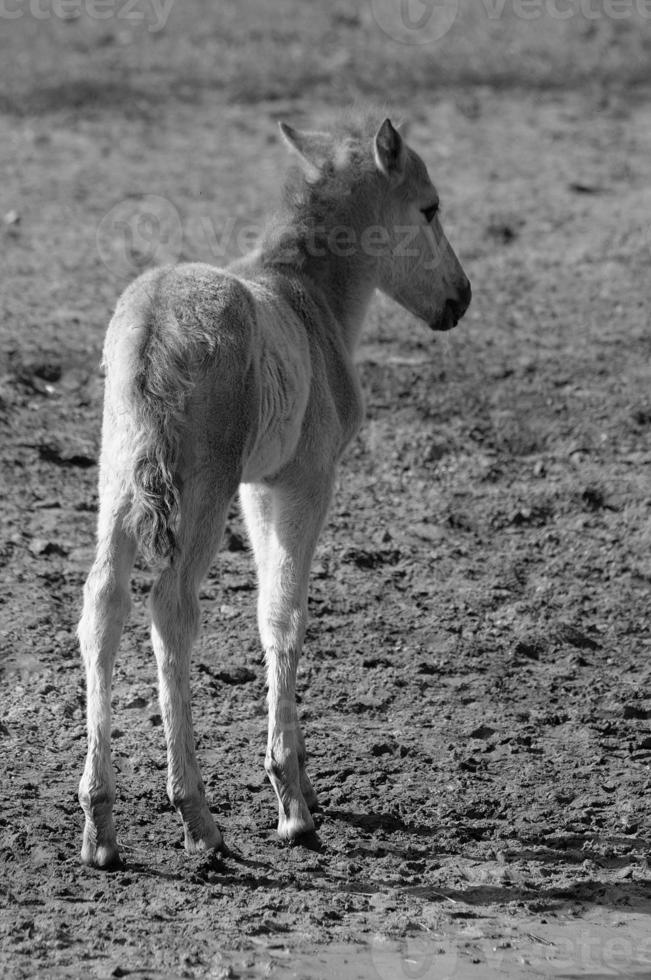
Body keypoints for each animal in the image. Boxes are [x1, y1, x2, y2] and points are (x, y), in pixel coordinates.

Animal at [79, 113, 472, 864]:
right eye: (430, 208)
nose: (459, 300)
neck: (307, 299)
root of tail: (151, 325)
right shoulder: (299, 482)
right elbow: (283, 613)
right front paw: (293, 802)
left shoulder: (260, 488)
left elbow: (269, 607)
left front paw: (304, 786)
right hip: (201, 492)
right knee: (170, 608)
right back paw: (198, 817)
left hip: (118, 481)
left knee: (103, 605)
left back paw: (100, 825)